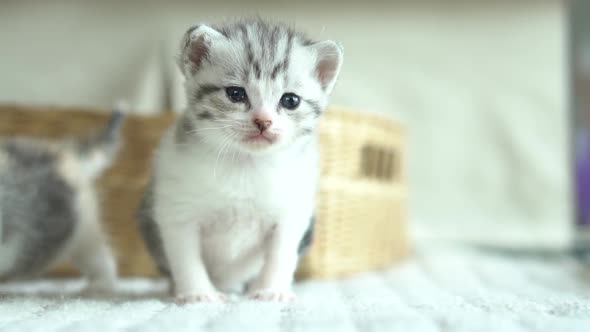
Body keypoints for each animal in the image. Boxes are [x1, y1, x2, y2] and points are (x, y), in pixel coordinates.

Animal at [138, 18, 342, 304]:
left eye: (290, 100)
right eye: (236, 94)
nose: (263, 121)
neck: (245, 163)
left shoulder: (292, 213)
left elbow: (281, 254)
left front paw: (271, 290)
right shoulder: (176, 210)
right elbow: (187, 258)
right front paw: (198, 293)